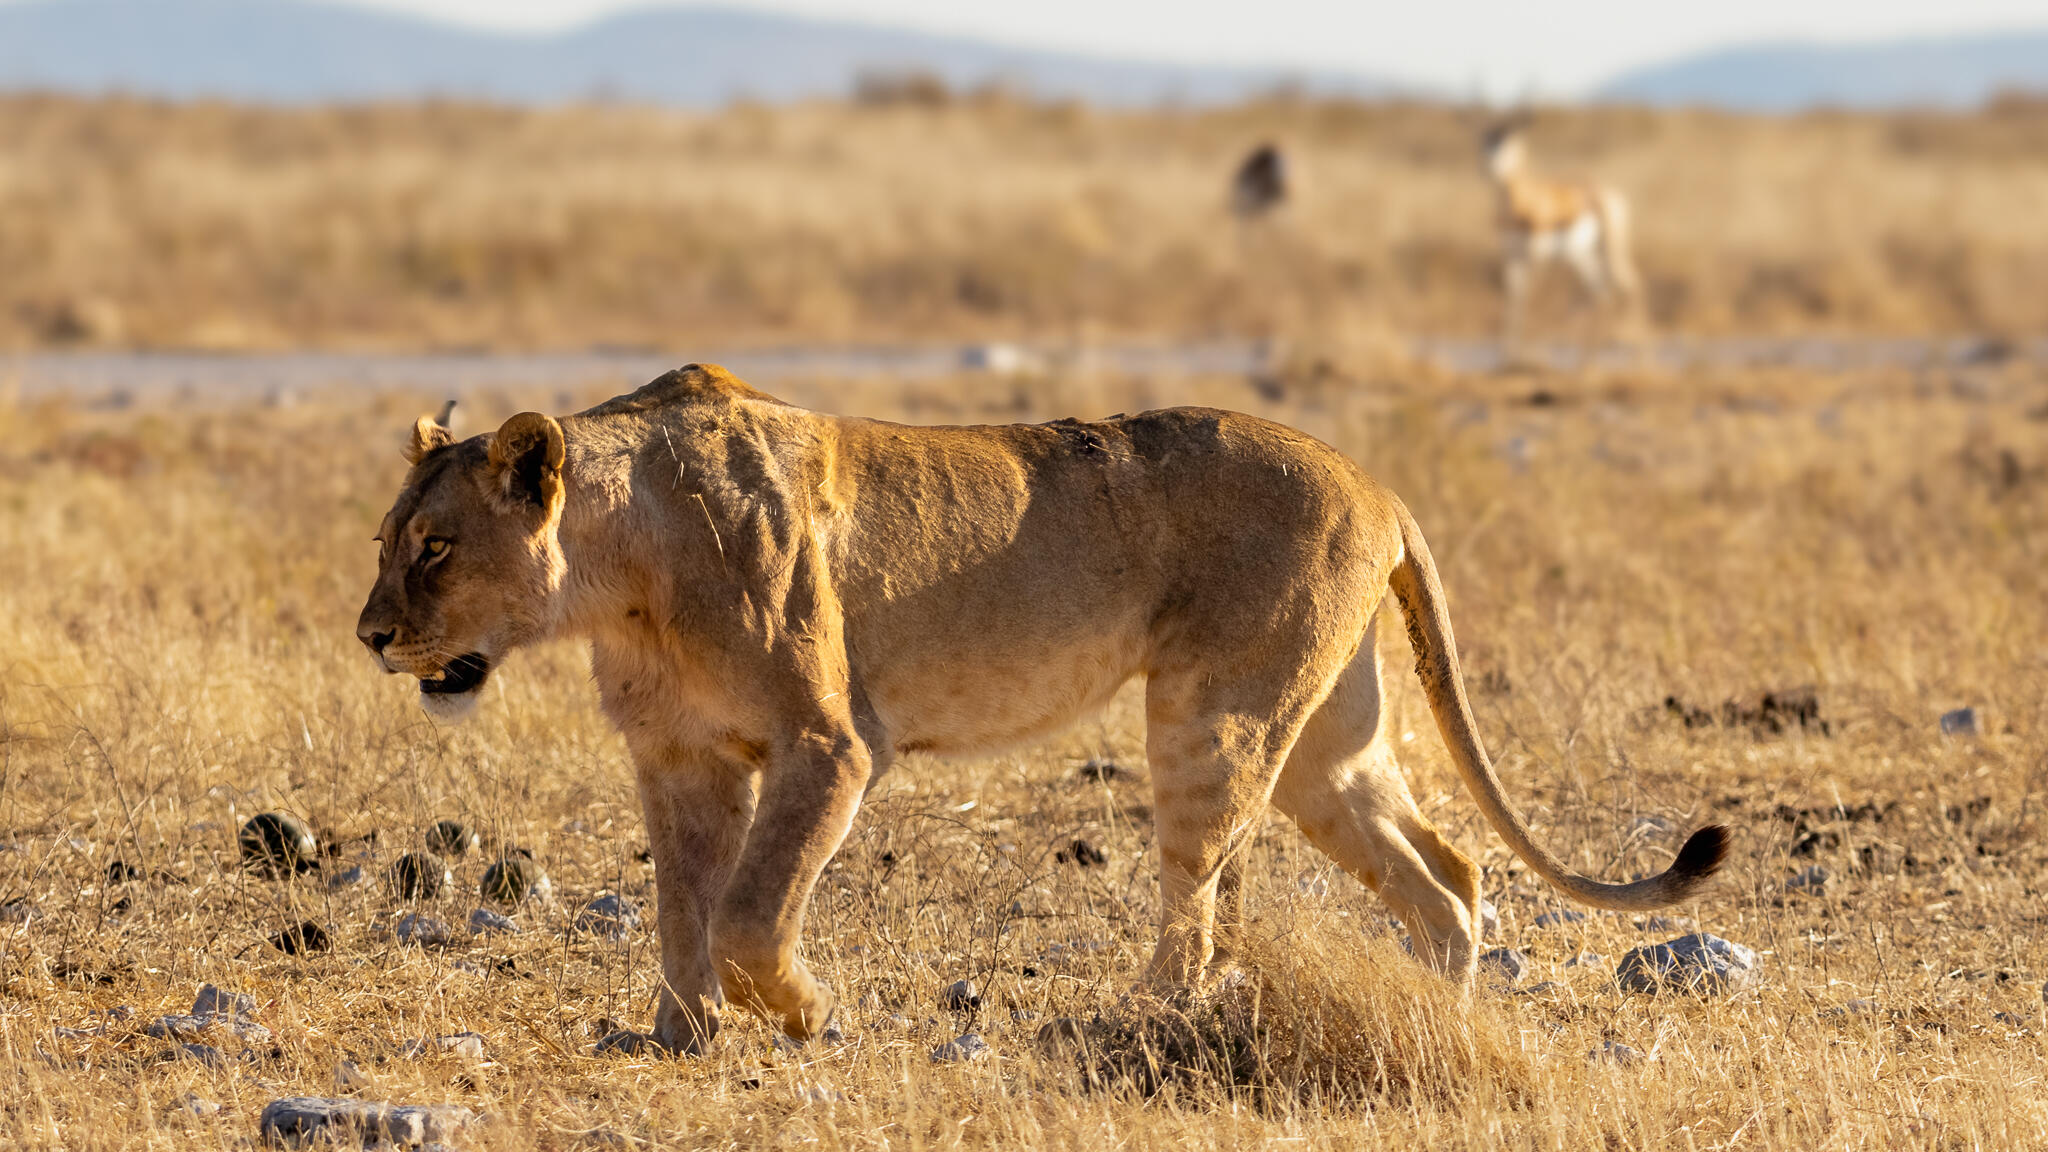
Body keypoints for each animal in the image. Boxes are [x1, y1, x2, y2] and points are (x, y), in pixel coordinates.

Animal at [356, 365, 1727, 1053]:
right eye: (387, 541)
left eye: (435, 546)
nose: (370, 635)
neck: (618, 573)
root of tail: (1379, 484)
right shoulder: (678, 756)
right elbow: (680, 909)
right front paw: (675, 1038)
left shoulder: (829, 744)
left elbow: (748, 911)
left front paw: (805, 1016)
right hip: (1319, 743)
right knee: (1444, 869)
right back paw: (1436, 1013)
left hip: (1211, 716)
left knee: (1198, 897)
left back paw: (1142, 1016)